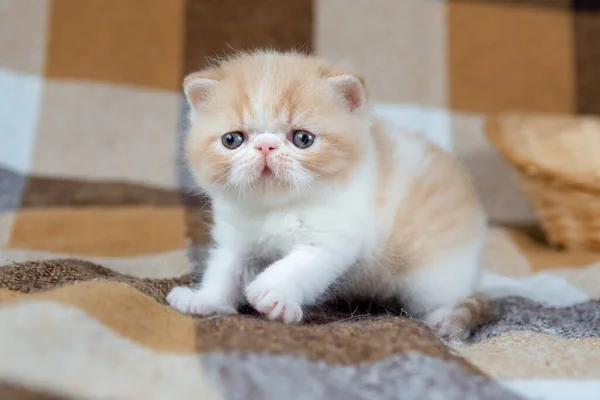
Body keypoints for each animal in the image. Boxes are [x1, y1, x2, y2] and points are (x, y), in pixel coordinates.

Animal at [166, 48, 490, 340]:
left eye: (302, 139)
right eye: (232, 139)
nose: (265, 145)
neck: (276, 209)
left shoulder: (332, 240)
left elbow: (298, 266)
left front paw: (274, 294)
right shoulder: (237, 240)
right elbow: (224, 270)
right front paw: (204, 300)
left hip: (432, 273)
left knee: (454, 295)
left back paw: (445, 317)